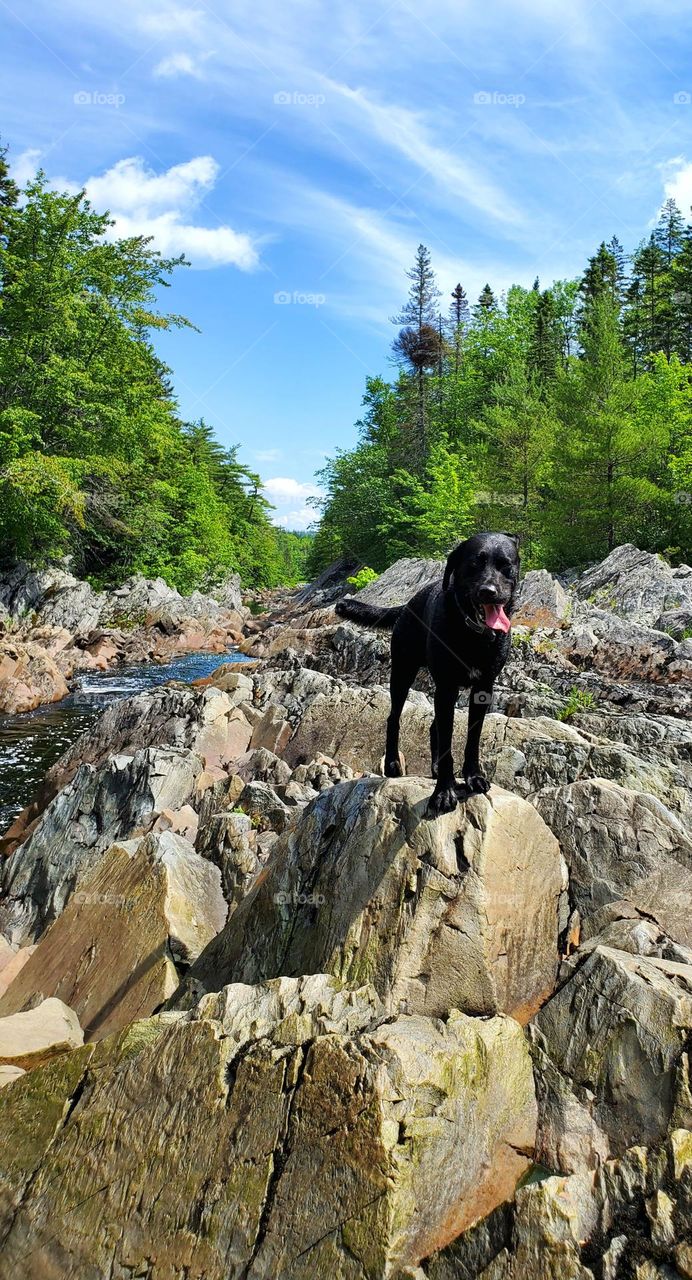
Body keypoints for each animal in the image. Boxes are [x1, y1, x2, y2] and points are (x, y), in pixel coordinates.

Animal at [335, 532, 516, 814]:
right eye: (474, 565)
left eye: (506, 565)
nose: (489, 592)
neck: (473, 634)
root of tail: (407, 604)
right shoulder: (446, 687)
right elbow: (447, 745)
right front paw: (443, 792)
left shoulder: (483, 688)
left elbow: (472, 740)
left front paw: (473, 776)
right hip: (403, 673)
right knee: (394, 718)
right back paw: (393, 764)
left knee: (433, 728)